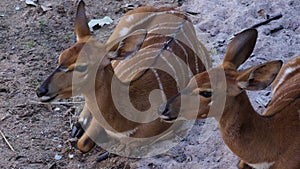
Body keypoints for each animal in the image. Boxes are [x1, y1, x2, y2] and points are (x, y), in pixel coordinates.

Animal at [35, 0, 211, 156]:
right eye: (60, 57)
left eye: (82, 66)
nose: (41, 90)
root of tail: (178, 11)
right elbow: (82, 143)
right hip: (121, 27)